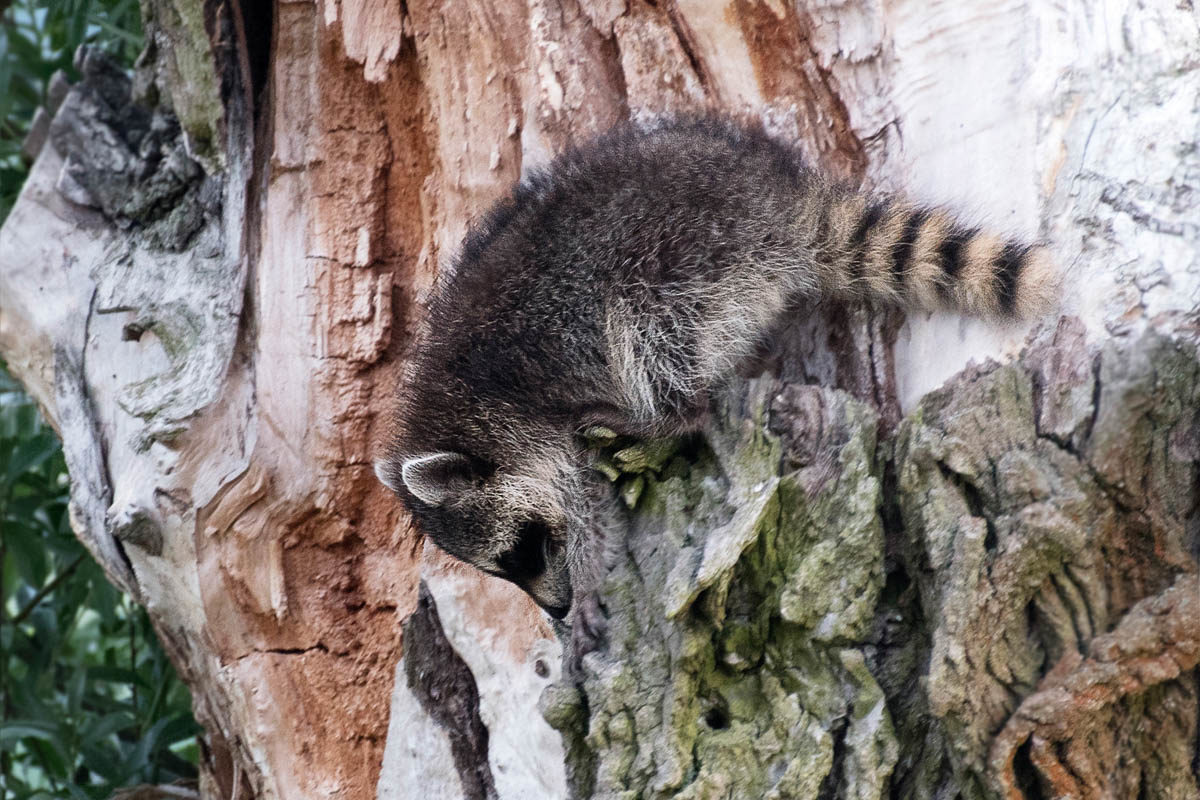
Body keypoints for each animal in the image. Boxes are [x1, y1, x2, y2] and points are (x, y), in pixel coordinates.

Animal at [372, 115, 1051, 623]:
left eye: (523, 551)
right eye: (507, 563)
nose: (556, 612)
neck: (464, 411)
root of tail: (779, 203)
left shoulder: (539, 418)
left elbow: (585, 499)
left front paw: (589, 579)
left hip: (683, 258)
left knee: (649, 335)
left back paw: (666, 415)